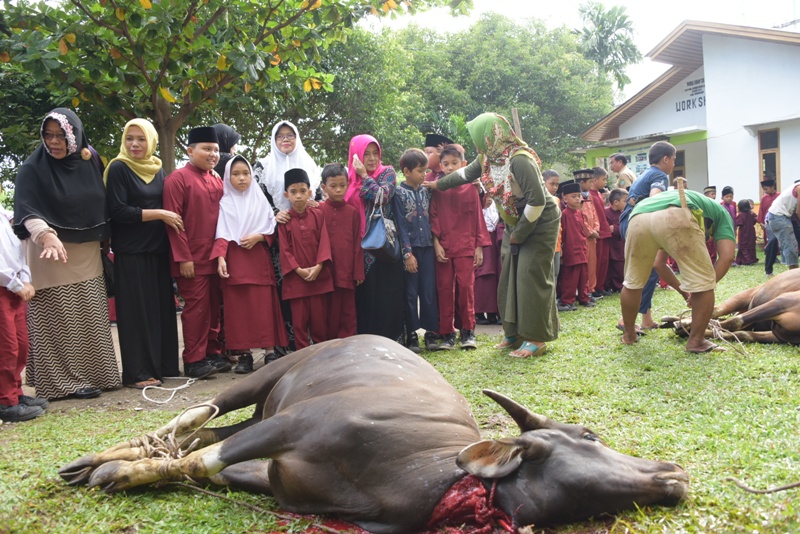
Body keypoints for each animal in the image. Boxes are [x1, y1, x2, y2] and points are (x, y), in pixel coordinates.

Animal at [61, 338, 688, 532]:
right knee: (194, 416)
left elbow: (204, 465)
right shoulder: (296, 425)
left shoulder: (275, 479)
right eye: (589, 434)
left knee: (196, 433)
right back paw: (99, 459)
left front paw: (124, 469)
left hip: (260, 415)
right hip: (264, 385)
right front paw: (119, 471)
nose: (674, 471)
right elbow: (201, 462)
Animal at [664, 270, 800, 346]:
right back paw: (677, 321)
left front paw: (684, 331)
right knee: (717, 311)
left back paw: (675, 323)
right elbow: (735, 322)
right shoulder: (781, 302)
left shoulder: (778, 336)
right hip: (746, 296)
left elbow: (742, 334)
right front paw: (683, 326)